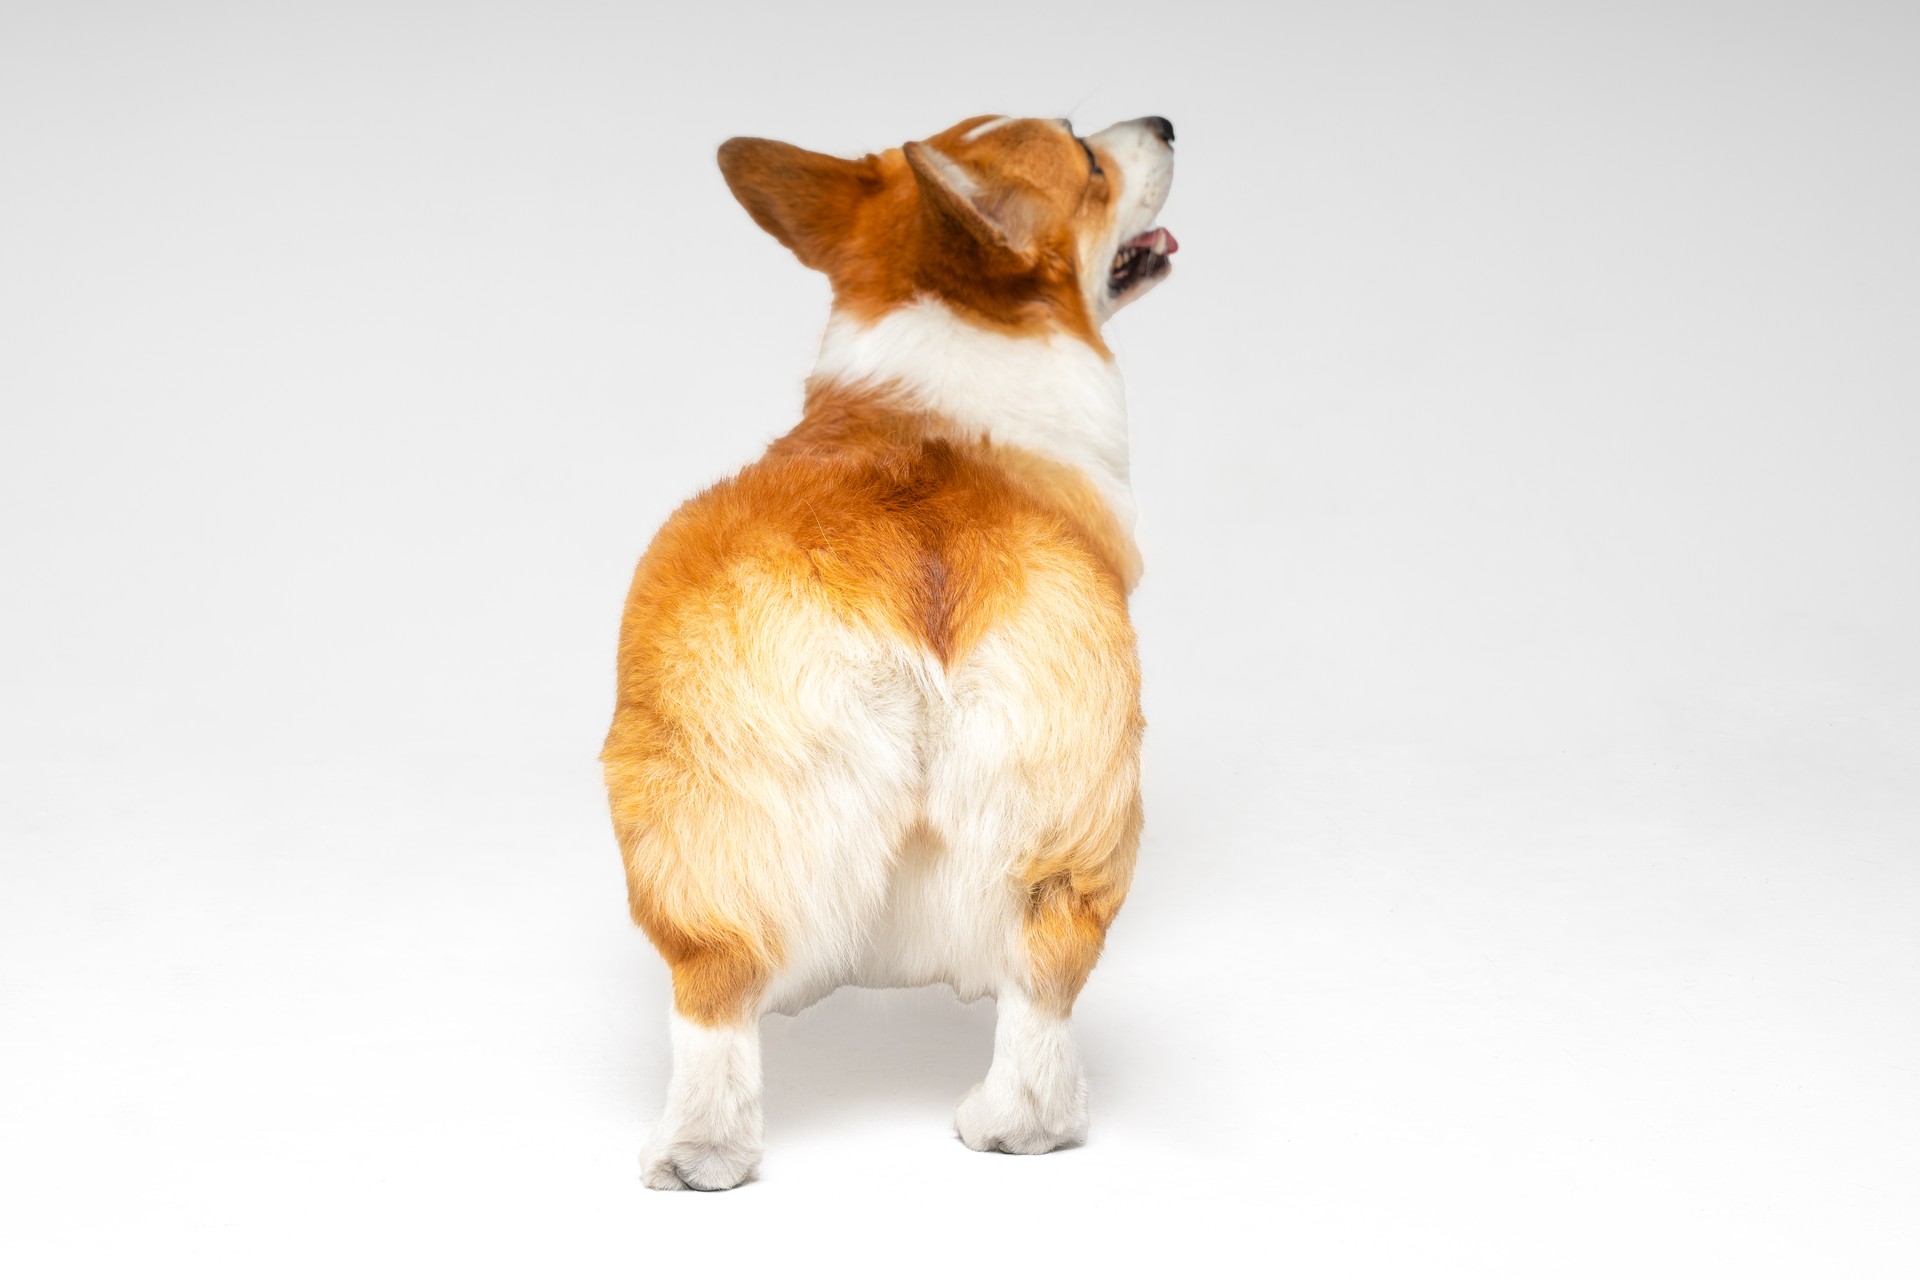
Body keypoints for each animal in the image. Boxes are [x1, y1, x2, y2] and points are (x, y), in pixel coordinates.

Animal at [599, 110, 1175, 1189]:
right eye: (1085, 152)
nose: (1163, 122)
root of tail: (911, 560)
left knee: (716, 982)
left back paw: (700, 1149)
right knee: (1042, 974)